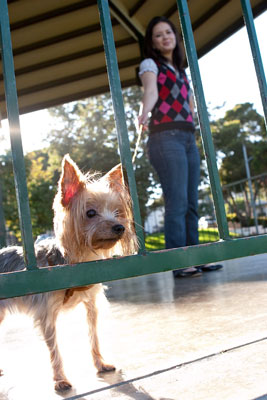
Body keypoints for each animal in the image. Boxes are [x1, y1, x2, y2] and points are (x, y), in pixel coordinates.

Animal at [0, 155, 138, 390]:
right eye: (90, 213)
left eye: (117, 212)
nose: (120, 227)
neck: (80, 262)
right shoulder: (47, 313)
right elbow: (54, 348)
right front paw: (60, 379)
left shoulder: (91, 305)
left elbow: (93, 335)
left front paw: (100, 364)